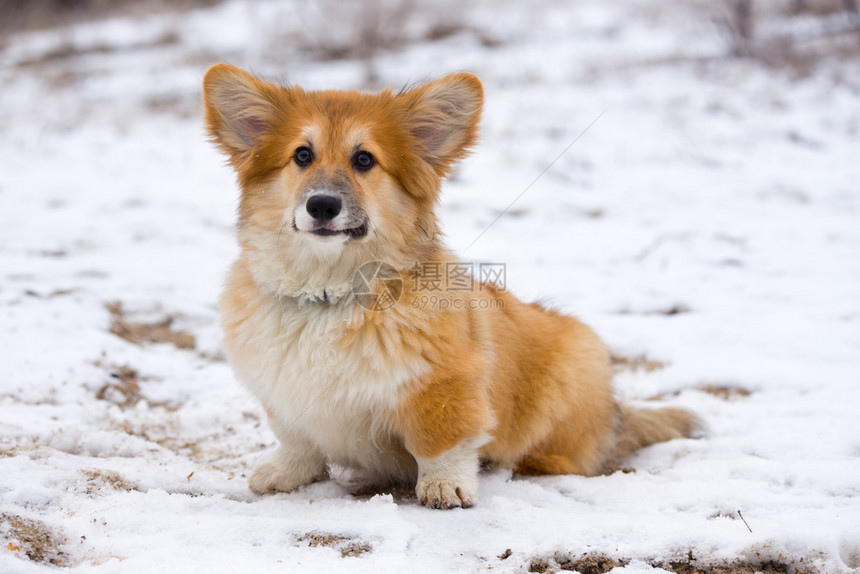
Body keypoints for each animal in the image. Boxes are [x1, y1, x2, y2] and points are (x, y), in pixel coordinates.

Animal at [205, 65, 704, 510]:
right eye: (302, 156)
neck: (329, 292)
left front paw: (446, 486)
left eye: (364, 159)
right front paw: (284, 472)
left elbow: (441, 443)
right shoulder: (283, 398)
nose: (322, 205)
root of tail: (614, 416)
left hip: (573, 368)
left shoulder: (444, 386)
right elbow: (298, 441)